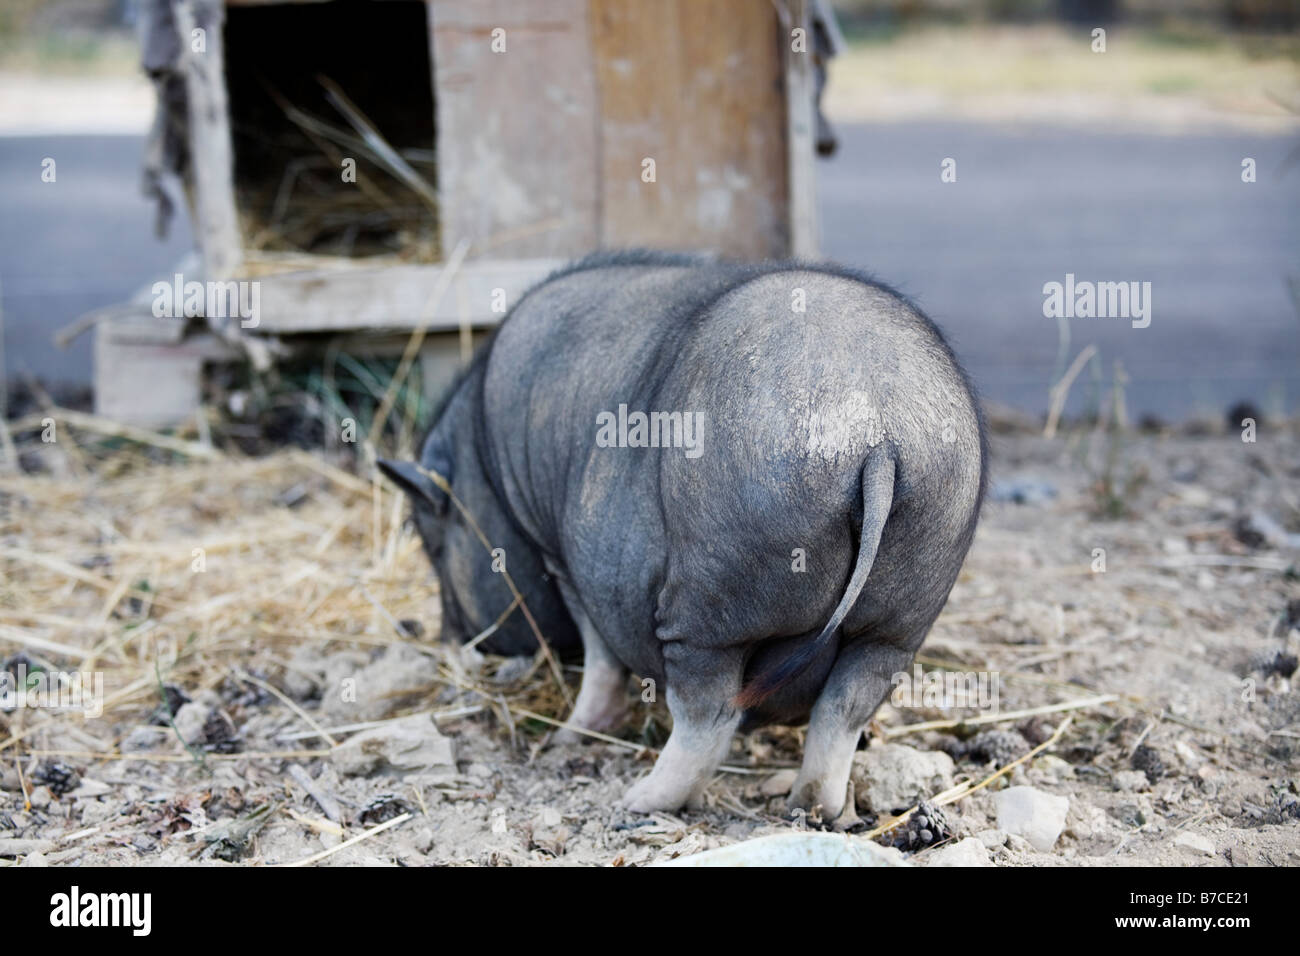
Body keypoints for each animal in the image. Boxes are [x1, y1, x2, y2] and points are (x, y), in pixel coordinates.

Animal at [379, 250, 987, 818]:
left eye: (432, 545)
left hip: (711, 597)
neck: (481, 462)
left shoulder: (565, 559)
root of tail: (878, 435)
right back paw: (808, 805)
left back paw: (636, 800)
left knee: (707, 712)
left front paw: (567, 738)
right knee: (845, 707)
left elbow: (600, 656)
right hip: (905, 611)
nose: (449, 638)